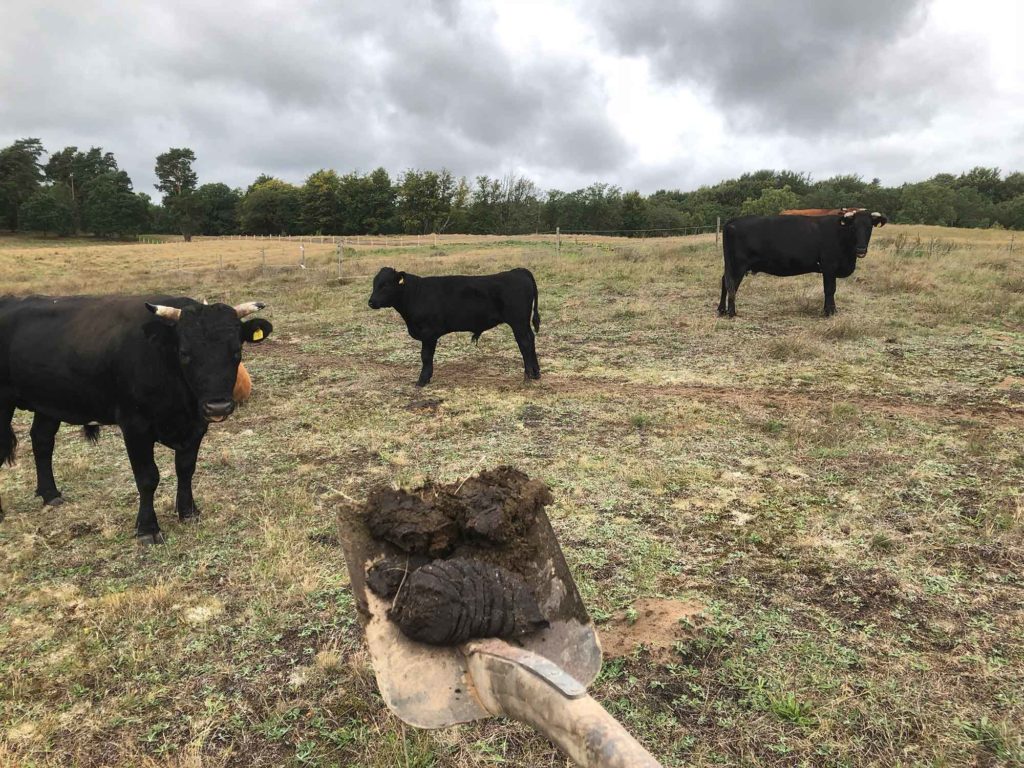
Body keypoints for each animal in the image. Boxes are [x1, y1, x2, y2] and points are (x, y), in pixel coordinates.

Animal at [0, 296, 272, 544]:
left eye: (236, 351)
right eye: (185, 353)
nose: (218, 406)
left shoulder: (196, 425)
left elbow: (186, 469)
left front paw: (188, 512)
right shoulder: (135, 427)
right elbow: (147, 477)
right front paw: (148, 529)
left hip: (49, 403)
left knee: (42, 441)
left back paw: (50, 494)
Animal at [370, 268, 544, 387]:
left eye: (385, 285)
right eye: (374, 284)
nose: (371, 302)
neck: (415, 294)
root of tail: (518, 271)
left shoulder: (429, 333)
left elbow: (425, 357)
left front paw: (422, 380)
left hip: (518, 322)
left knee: (525, 343)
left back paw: (528, 375)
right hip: (523, 323)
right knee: (531, 340)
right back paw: (536, 373)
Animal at [716, 208, 884, 317]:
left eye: (869, 227)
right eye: (853, 227)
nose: (861, 249)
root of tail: (734, 220)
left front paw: (828, 310)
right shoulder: (829, 266)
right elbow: (830, 289)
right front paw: (830, 312)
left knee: (725, 281)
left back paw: (722, 310)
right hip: (738, 265)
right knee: (731, 284)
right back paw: (731, 312)